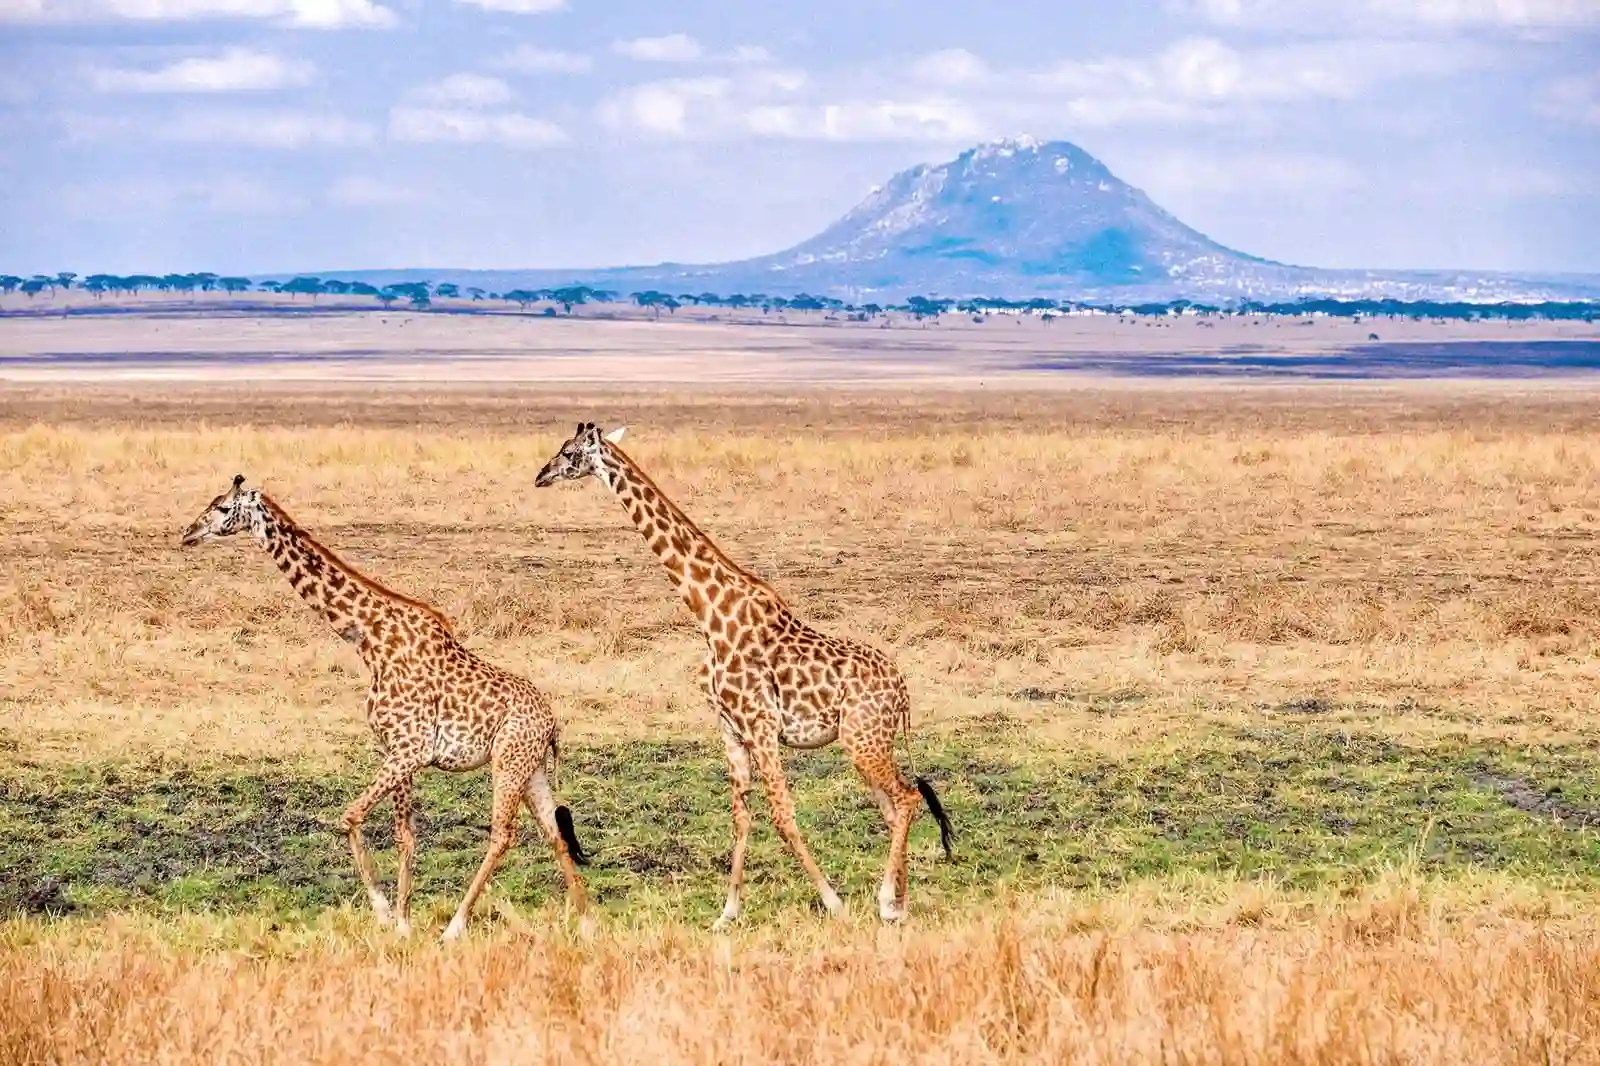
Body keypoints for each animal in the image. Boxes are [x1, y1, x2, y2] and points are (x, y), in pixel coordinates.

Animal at [181, 473, 592, 941]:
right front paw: (402, 922)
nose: (187, 533)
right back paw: (585, 923)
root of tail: (553, 724)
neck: (369, 638)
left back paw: (454, 928)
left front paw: (382, 911)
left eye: (221, 507)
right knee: (553, 833)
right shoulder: (397, 751)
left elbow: (349, 817)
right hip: (530, 768)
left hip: (509, 762)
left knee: (503, 834)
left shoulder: (409, 750)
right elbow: (403, 836)